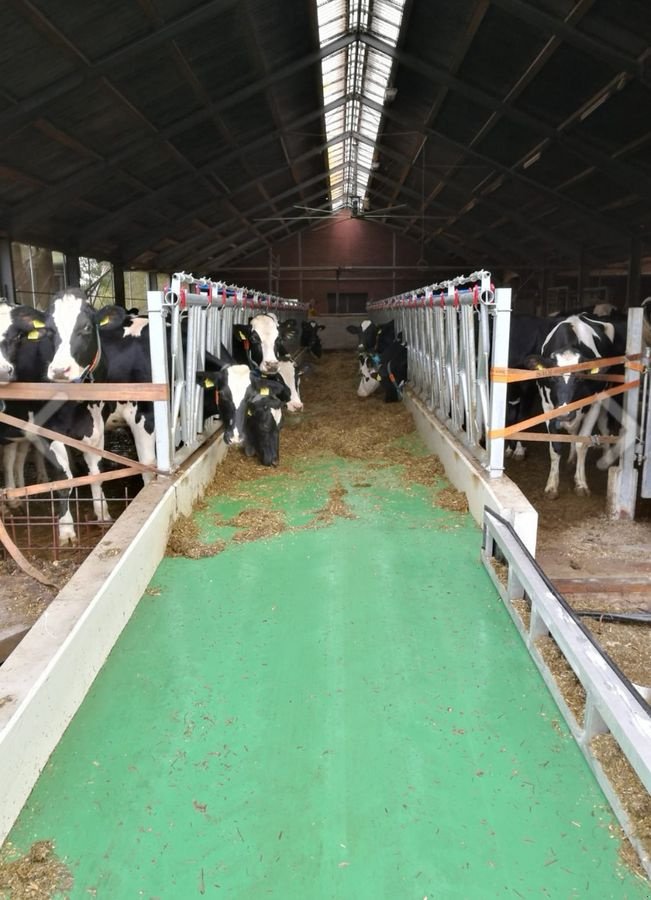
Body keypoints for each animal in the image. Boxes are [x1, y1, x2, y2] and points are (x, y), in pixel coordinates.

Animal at [524, 312, 628, 500]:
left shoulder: (595, 403)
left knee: (604, 426)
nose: (565, 414)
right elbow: (555, 446)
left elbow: (582, 443)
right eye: (552, 377)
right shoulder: (547, 406)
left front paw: (581, 484)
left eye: (580, 377)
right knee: (573, 430)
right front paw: (552, 485)